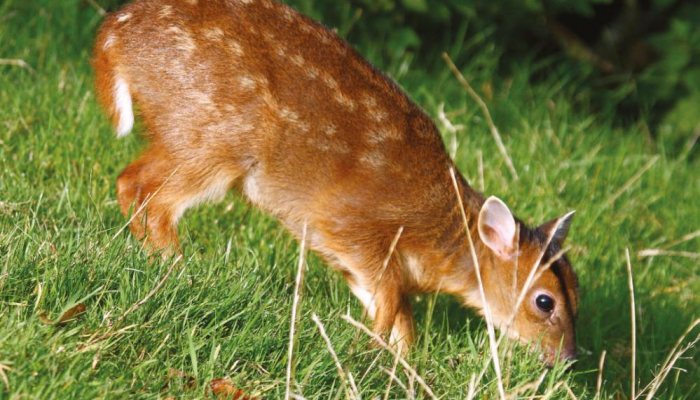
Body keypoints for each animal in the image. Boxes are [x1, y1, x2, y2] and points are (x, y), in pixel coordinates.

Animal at [93, 0, 579, 365]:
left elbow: (398, 310)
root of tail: (111, 39)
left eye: (575, 289)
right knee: (140, 188)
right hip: (211, 137)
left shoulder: (352, 256)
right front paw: (370, 351)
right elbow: (389, 301)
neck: (443, 239)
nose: (568, 359)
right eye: (544, 301)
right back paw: (177, 269)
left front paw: (403, 361)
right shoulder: (349, 222)